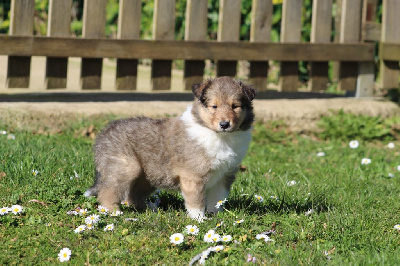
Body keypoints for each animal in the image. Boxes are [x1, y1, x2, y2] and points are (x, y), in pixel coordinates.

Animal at [86, 76, 258, 220]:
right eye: (214, 106)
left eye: (235, 106)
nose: (224, 124)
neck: (219, 137)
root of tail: (103, 133)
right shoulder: (193, 176)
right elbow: (196, 201)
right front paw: (200, 219)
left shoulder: (224, 175)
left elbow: (218, 199)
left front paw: (216, 215)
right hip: (127, 167)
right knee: (108, 191)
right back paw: (114, 212)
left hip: (147, 175)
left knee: (131, 194)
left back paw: (149, 208)